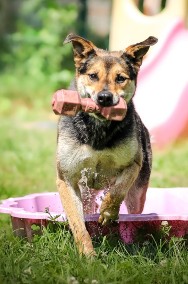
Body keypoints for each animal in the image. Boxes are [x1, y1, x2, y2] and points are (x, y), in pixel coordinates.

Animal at [55, 33, 157, 255]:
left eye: (120, 78)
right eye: (93, 76)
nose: (104, 98)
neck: (99, 129)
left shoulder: (133, 164)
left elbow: (117, 190)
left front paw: (109, 212)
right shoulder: (66, 177)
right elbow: (78, 224)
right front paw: (87, 255)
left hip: (138, 192)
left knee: (134, 207)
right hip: (86, 192)